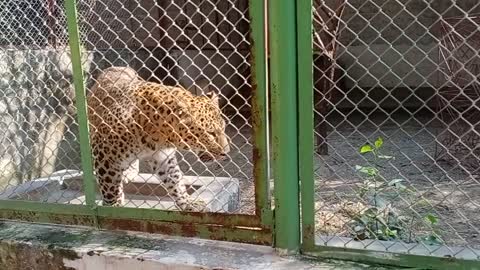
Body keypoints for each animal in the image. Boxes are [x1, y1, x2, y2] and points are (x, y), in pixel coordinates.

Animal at [87, 67, 231, 211]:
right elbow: (110, 187)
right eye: (211, 133)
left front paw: (189, 203)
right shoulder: (104, 153)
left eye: (224, 128)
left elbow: (175, 180)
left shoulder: (164, 158)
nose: (226, 153)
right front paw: (113, 207)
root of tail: (117, 67)